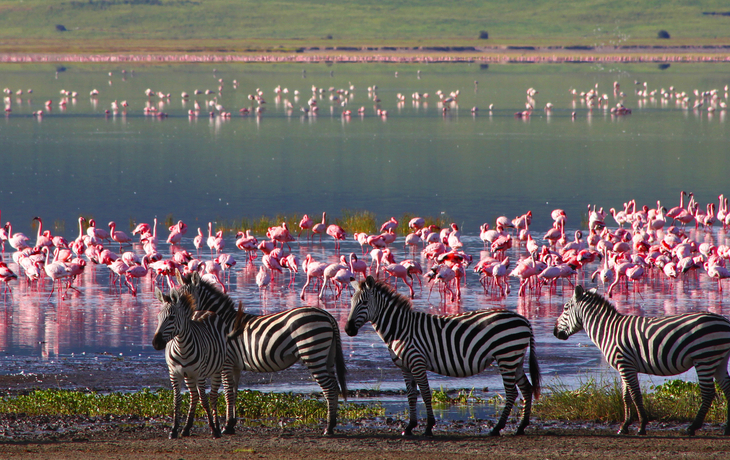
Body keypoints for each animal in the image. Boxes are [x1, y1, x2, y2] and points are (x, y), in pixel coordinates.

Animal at [152, 287, 228, 439]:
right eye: (158, 317)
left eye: (171, 318)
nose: (156, 343)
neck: (182, 347)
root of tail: (205, 311)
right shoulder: (174, 373)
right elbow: (177, 400)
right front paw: (174, 429)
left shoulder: (200, 375)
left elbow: (204, 400)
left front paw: (213, 429)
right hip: (189, 375)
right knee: (194, 396)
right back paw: (186, 428)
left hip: (217, 370)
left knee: (213, 396)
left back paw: (217, 426)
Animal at [175, 272, 347, 436]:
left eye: (185, 299)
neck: (221, 323)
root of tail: (328, 316)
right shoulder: (235, 365)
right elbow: (234, 391)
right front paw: (232, 424)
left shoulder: (226, 363)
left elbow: (228, 392)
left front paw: (226, 426)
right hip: (327, 356)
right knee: (334, 386)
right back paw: (332, 424)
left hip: (312, 353)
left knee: (329, 388)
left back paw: (328, 428)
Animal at [345, 276, 541, 437]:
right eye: (351, 302)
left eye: (363, 303)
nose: (347, 329)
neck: (400, 329)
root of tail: (523, 319)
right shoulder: (405, 367)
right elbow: (411, 395)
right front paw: (409, 427)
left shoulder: (417, 362)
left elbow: (425, 393)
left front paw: (428, 426)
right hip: (515, 358)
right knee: (526, 388)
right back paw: (521, 427)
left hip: (506, 356)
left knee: (512, 392)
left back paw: (497, 428)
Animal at [554, 285, 730, 435]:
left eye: (565, 308)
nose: (555, 332)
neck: (609, 330)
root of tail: (725, 322)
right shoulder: (624, 366)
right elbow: (626, 397)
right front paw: (625, 426)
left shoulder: (625, 364)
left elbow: (635, 395)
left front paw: (641, 426)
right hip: (719, 361)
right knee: (727, 390)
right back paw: (726, 428)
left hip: (704, 357)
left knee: (708, 393)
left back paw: (693, 427)